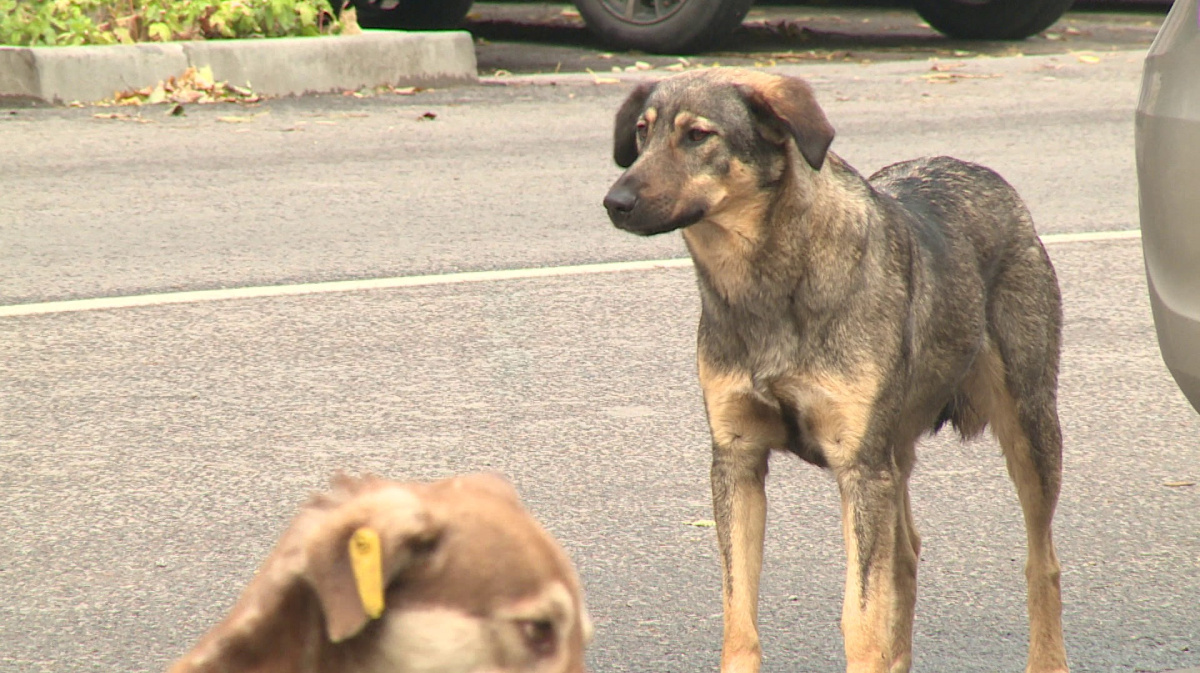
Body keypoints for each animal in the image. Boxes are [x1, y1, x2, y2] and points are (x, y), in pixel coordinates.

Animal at [604, 69, 1065, 671]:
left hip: (1026, 428)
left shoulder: (858, 467)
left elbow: (862, 618)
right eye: (642, 132)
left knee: (1041, 562)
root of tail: (985, 174)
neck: (767, 287)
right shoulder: (738, 460)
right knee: (907, 555)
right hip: (895, 452)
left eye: (698, 135)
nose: (614, 201)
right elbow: (739, 616)